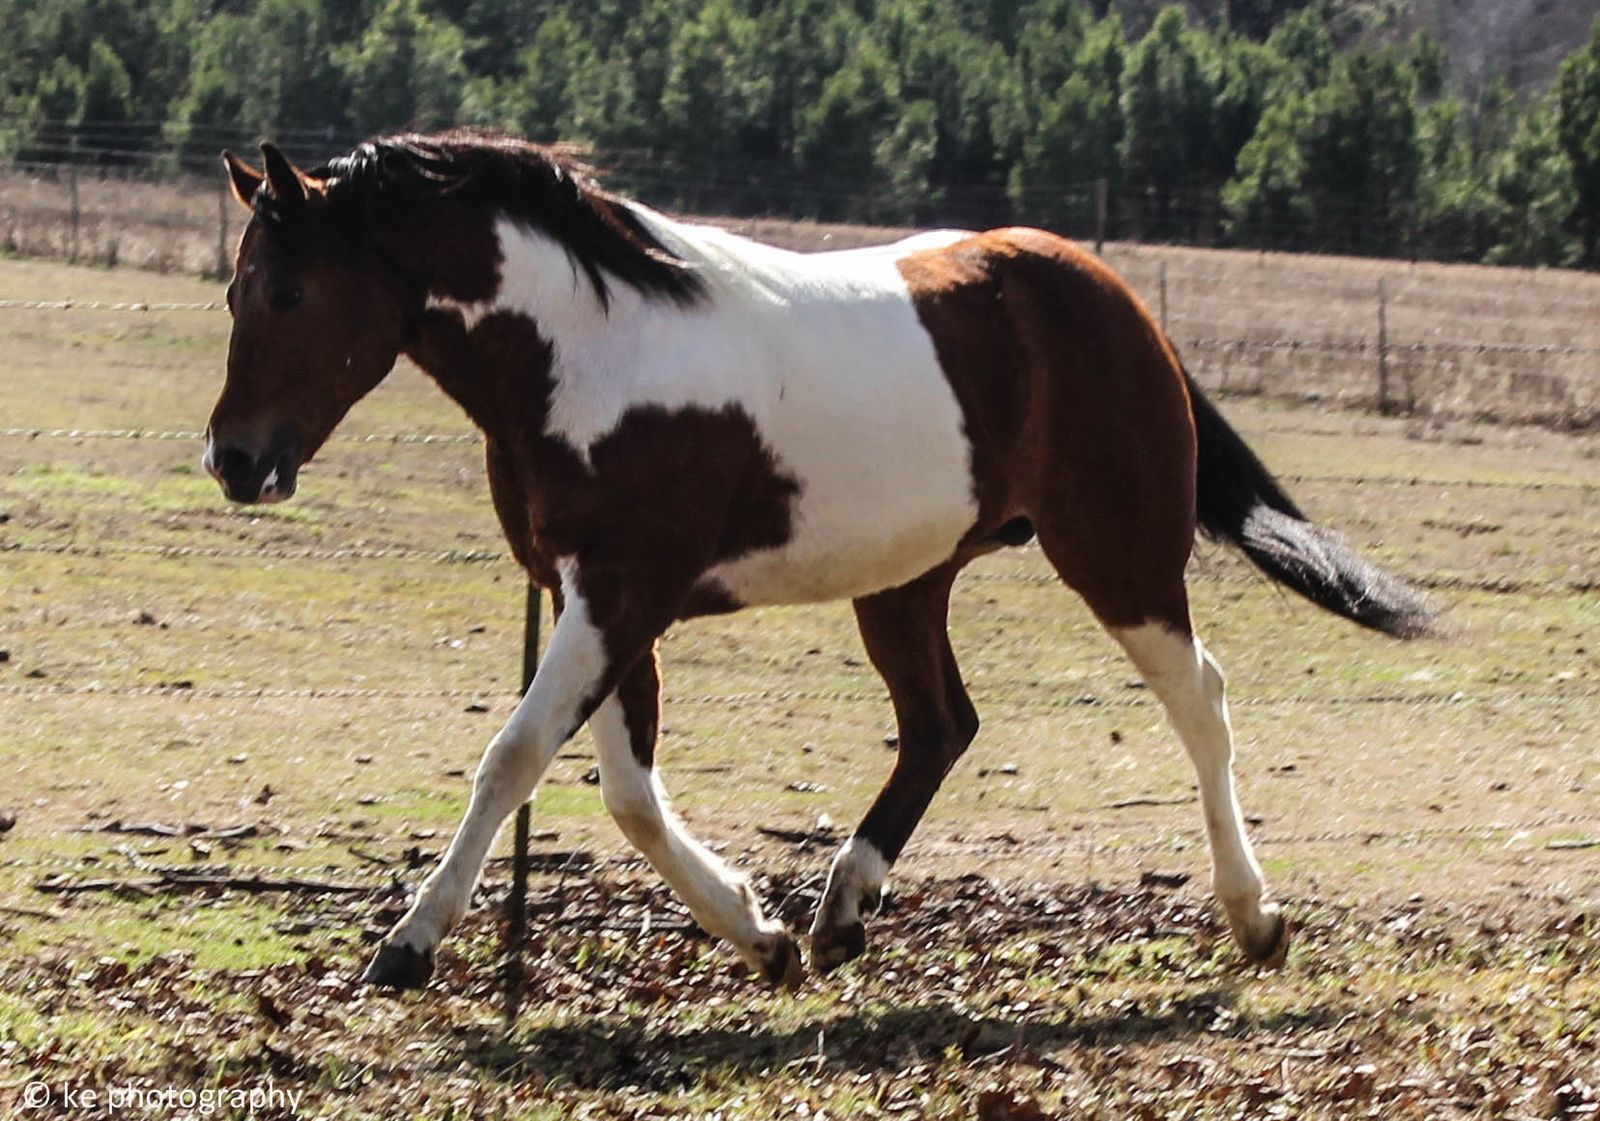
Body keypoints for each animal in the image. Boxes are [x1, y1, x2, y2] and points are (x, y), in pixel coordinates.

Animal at [204, 131, 1435, 991]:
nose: (234, 459)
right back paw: (842, 908)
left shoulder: (622, 590)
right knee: (942, 724)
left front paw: (408, 944)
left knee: (1200, 701)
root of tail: (1119, 301)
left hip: (1118, 554)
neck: (592, 349)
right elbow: (626, 789)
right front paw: (760, 933)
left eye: (289, 289)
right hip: (908, 579)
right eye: (233, 286)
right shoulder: (591, 595)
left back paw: (1254, 917)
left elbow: (515, 758)